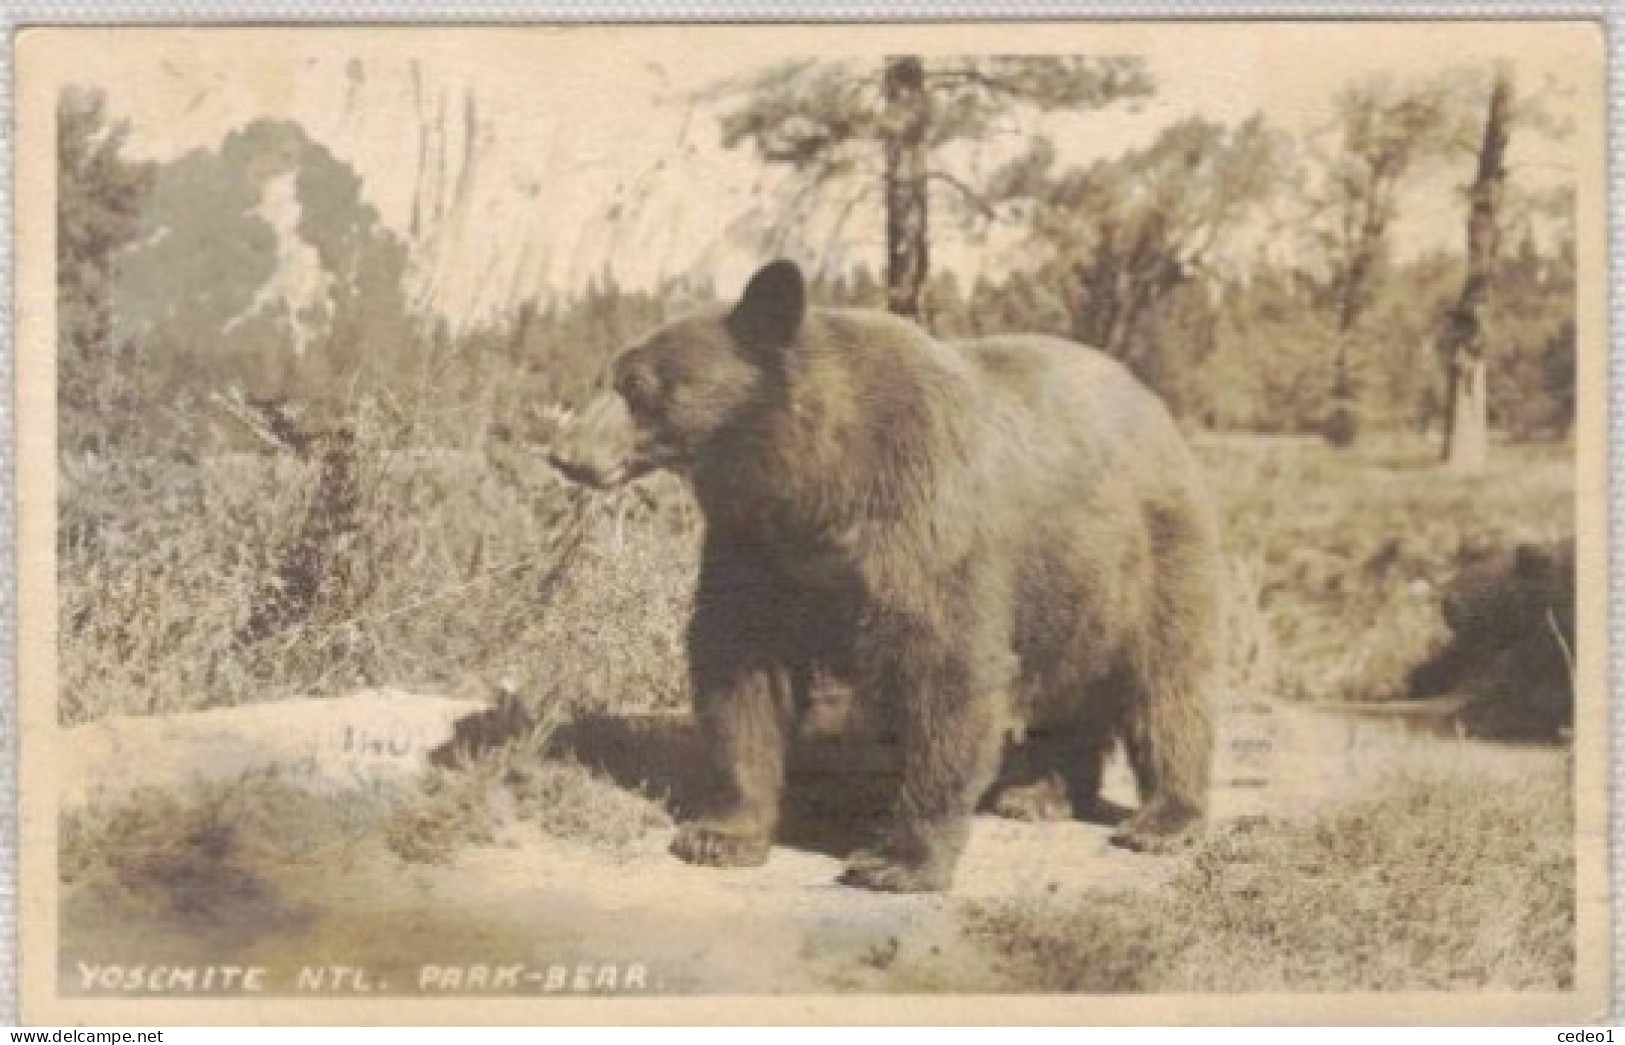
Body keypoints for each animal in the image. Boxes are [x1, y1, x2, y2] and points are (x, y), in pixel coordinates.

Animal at [549, 260, 1222, 890]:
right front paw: (720, 835)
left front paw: (898, 859)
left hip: (1150, 553)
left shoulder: (919, 511)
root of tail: (1154, 404)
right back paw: (1038, 793)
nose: (564, 454)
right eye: (603, 378)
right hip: (1068, 585)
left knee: (1167, 682)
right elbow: (739, 666)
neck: (814, 478)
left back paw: (1162, 819)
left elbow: (945, 665)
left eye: (637, 386)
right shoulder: (756, 542)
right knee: (1070, 684)